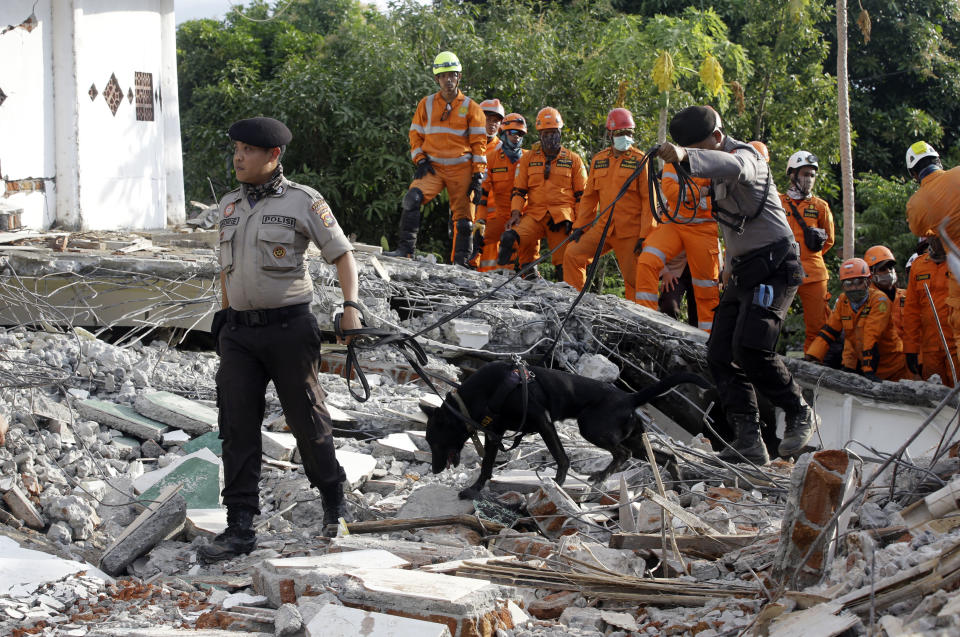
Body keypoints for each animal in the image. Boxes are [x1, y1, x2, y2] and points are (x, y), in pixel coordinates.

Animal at [424, 360, 708, 500]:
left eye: (434, 443)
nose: (435, 470)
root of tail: (629, 397)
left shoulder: (543, 421)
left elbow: (561, 458)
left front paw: (557, 487)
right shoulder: (495, 434)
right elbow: (486, 466)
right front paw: (475, 489)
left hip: (592, 428)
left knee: (622, 454)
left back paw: (601, 476)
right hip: (636, 442)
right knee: (667, 457)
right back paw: (678, 488)